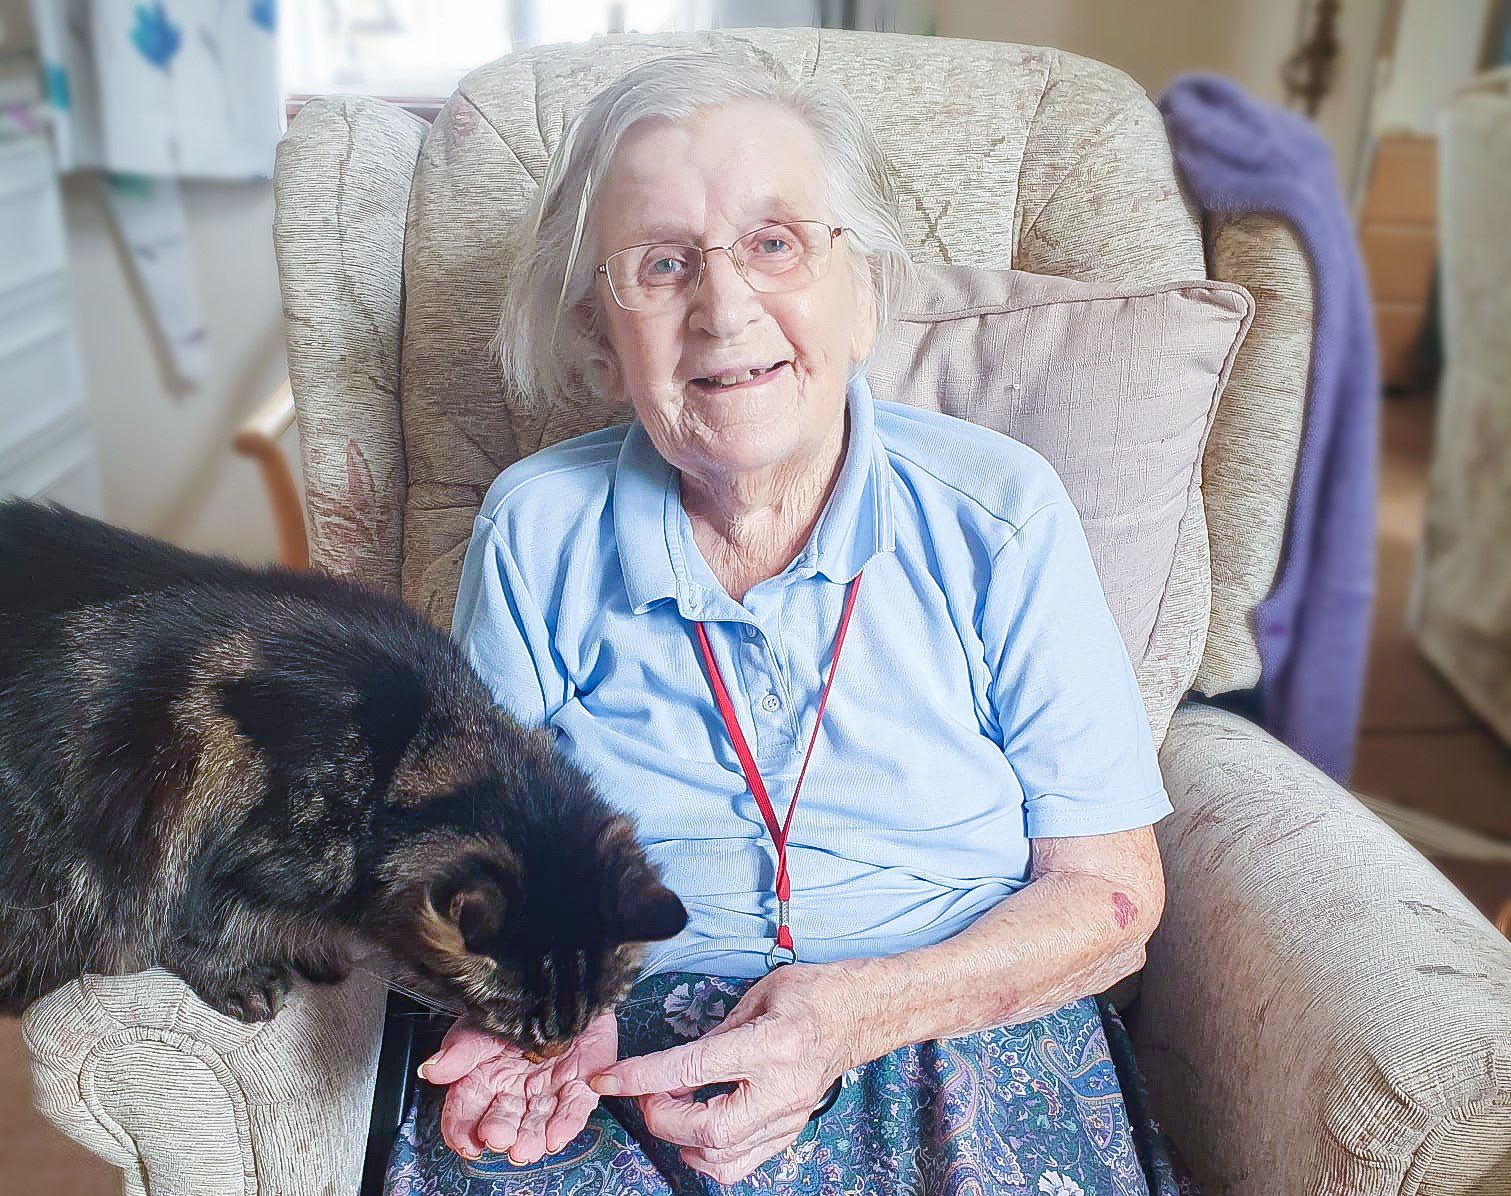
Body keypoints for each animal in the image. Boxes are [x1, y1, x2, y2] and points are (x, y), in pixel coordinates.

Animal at [0, 501, 685, 1051]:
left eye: (589, 1018)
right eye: (517, 1020)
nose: (553, 1050)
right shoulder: (192, 834)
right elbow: (194, 921)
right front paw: (251, 973)